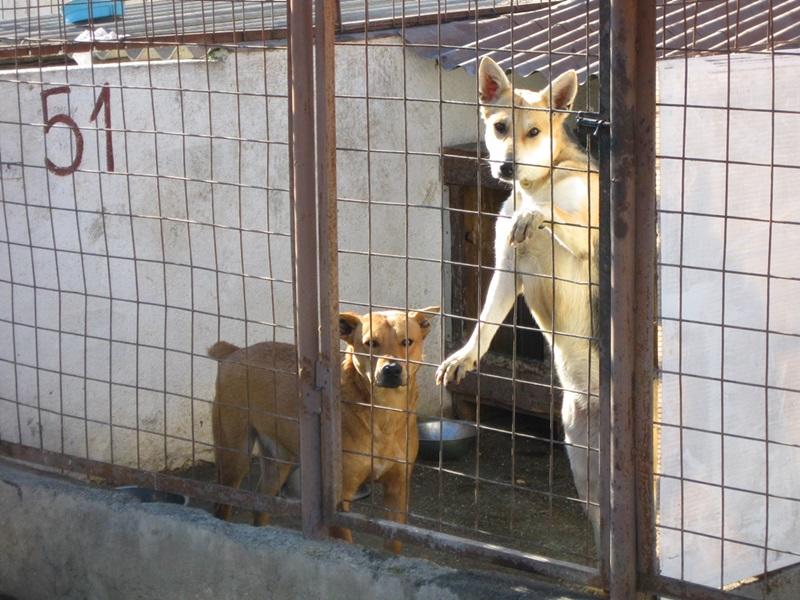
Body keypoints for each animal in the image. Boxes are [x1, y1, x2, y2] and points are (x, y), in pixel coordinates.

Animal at [208, 308, 438, 552]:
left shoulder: (397, 489)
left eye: (407, 342)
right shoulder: (338, 497)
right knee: (222, 503)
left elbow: (394, 543)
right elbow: (344, 538)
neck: (384, 413)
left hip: (279, 461)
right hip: (234, 458)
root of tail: (236, 352)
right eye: (370, 343)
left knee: (262, 499)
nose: (392, 369)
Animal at [438, 57, 600, 544]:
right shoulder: (507, 270)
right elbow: (485, 323)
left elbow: (555, 214)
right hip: (582, 461)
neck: (539, 182)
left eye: (533, 132)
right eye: (500, 127)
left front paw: (536, 214)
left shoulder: (590, 234)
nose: (507, 167)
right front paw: (465, 356)